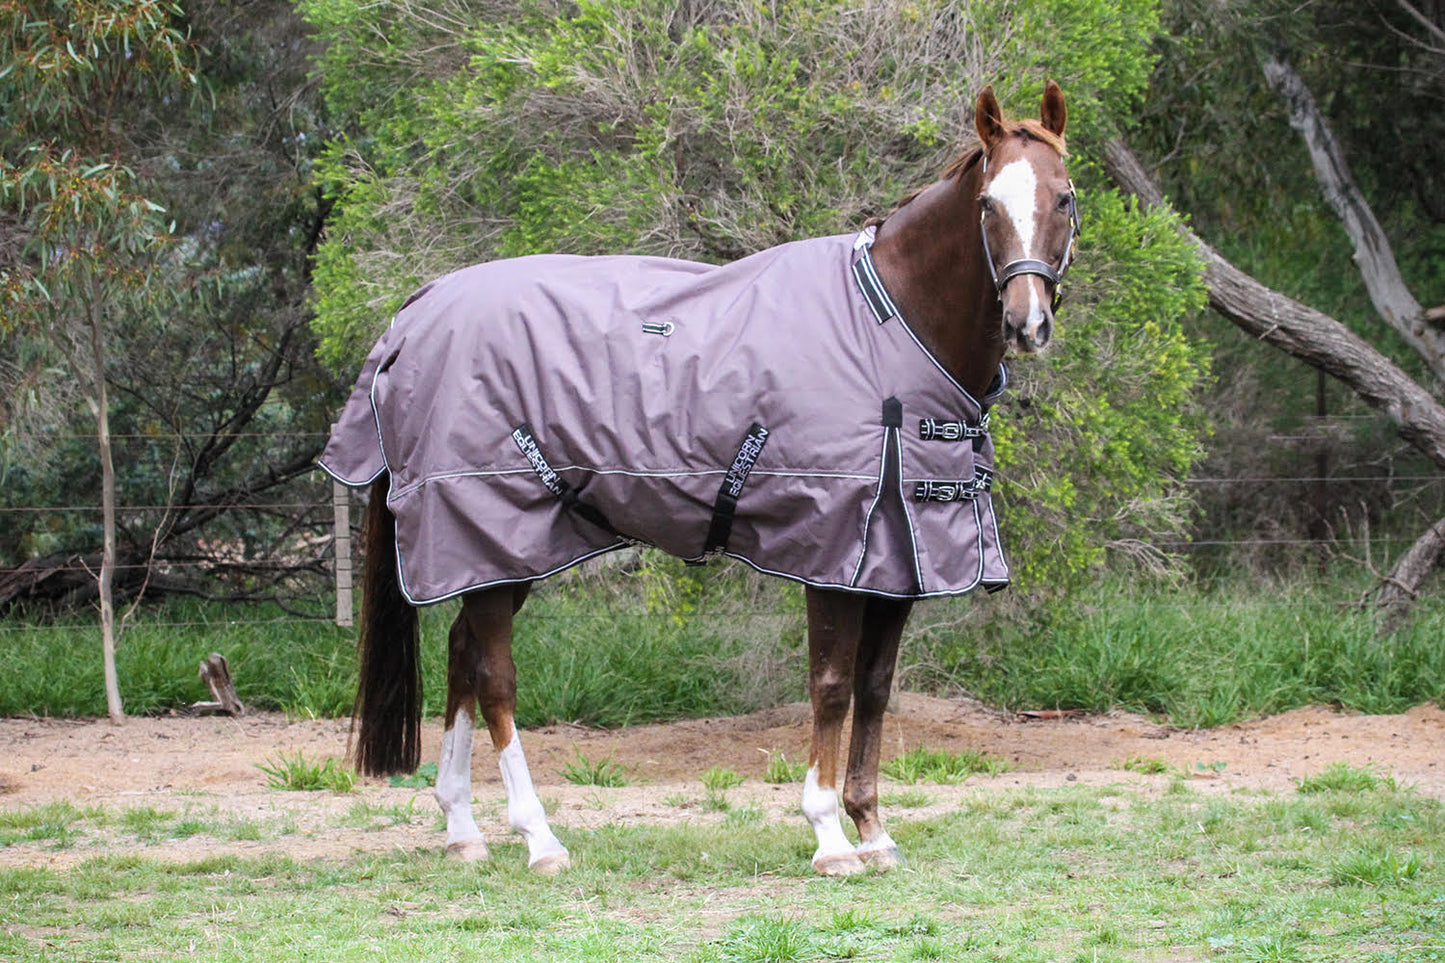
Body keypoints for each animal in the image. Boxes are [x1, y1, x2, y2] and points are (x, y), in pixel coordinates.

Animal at [319, 82, 1077, 876]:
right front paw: (829, 837)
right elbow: (832, 687)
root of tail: (414, 313)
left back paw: (463, 827)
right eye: (988, 204)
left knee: (463, 656)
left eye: (1063, 197)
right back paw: (539, 838)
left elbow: (873, 690)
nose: (1027, 322)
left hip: (501, 551)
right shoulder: (833, 554)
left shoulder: (899, 563)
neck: (888, 326)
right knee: (494, 673)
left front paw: (873, 831)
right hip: (489, 529)